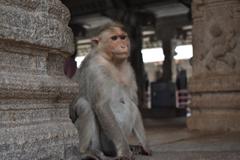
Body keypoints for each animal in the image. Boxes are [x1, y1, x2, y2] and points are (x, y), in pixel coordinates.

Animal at [67, 21, 150, 159]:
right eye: (114, 38)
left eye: (123, 37)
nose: (123, 46)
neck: (113, 61)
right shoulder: (97, 68)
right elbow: (101, 106)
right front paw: (125, 151)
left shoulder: (129, 70)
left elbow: (134, 103)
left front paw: (144, 145)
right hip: (105, 141)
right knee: (85, 106)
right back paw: (86, 152)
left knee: (132, 106)